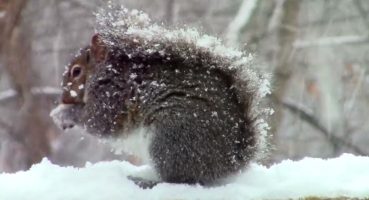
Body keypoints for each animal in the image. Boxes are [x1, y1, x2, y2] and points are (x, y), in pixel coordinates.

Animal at [51, 10, 264, 187]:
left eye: (76, 72)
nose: (64, 98)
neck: (105, 72)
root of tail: (229, 161)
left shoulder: (113, 95)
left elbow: (99, 121)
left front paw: (62, 113)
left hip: (171, 137)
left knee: (178, 180)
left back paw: (145, 181)